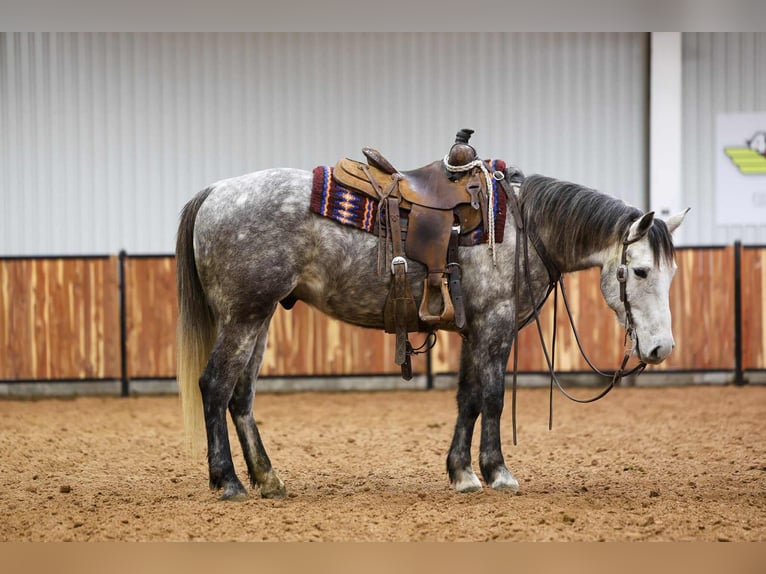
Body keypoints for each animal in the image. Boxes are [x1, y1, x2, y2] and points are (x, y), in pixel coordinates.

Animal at [175, 164, 689, 500]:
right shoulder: (495, 324)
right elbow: (493, 398)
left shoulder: (473, 330)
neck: (521, 228)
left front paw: (461, 474)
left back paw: (268, 479)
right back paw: (228, 482)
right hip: (243, 316)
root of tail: (215, 191)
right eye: (640, 271)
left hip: (258, 318)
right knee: (215, 386)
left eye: (672, 273)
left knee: (241, 398)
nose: (662, 348)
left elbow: (468, 399)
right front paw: (497, 473)